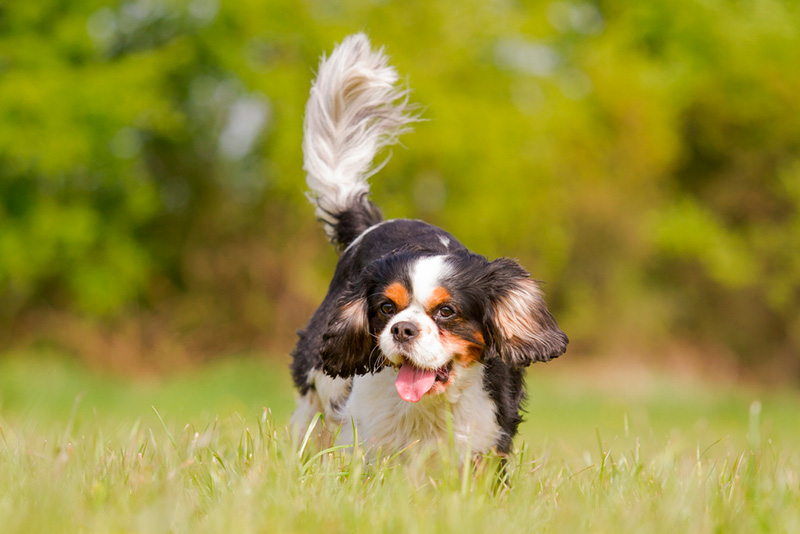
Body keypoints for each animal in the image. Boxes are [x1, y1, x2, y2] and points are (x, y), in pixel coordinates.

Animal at [290, 32, 564, 456]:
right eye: (386, 309)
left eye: (447, 312)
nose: (402, 329)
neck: (431, 404)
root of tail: (372, 223)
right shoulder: (364, 433)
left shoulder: (487, 436)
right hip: (315, 378)